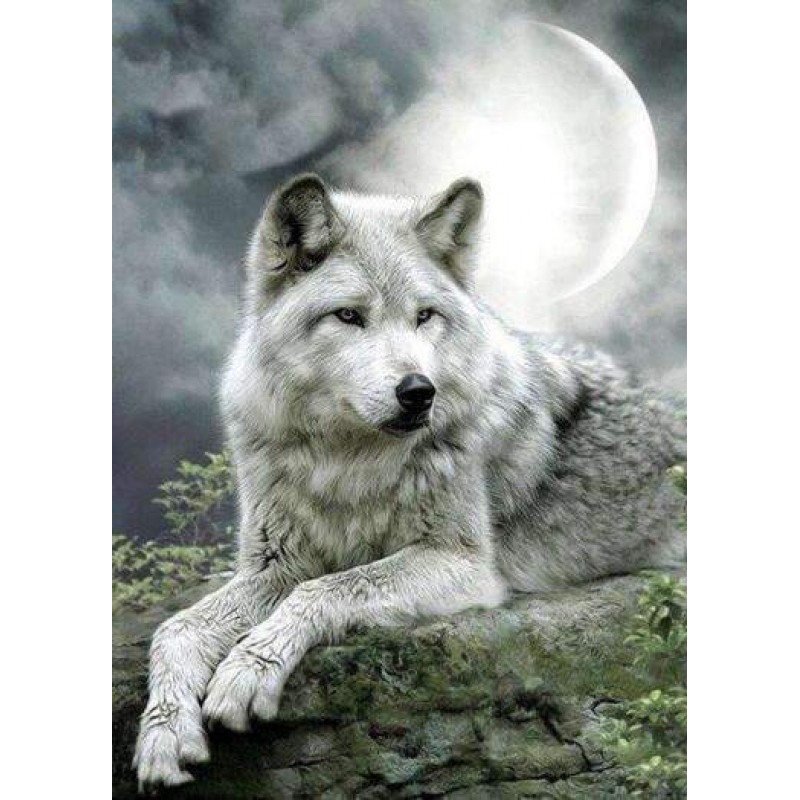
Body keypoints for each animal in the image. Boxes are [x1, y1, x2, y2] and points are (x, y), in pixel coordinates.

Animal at [133, 174, 686, 790]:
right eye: (349, 316)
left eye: (424, 316)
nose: (420, 391)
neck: (347, 462)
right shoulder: (274, 566)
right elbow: (176, 628)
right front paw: (163, 734)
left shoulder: (462, 563)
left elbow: (327, 589)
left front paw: (246, 671)